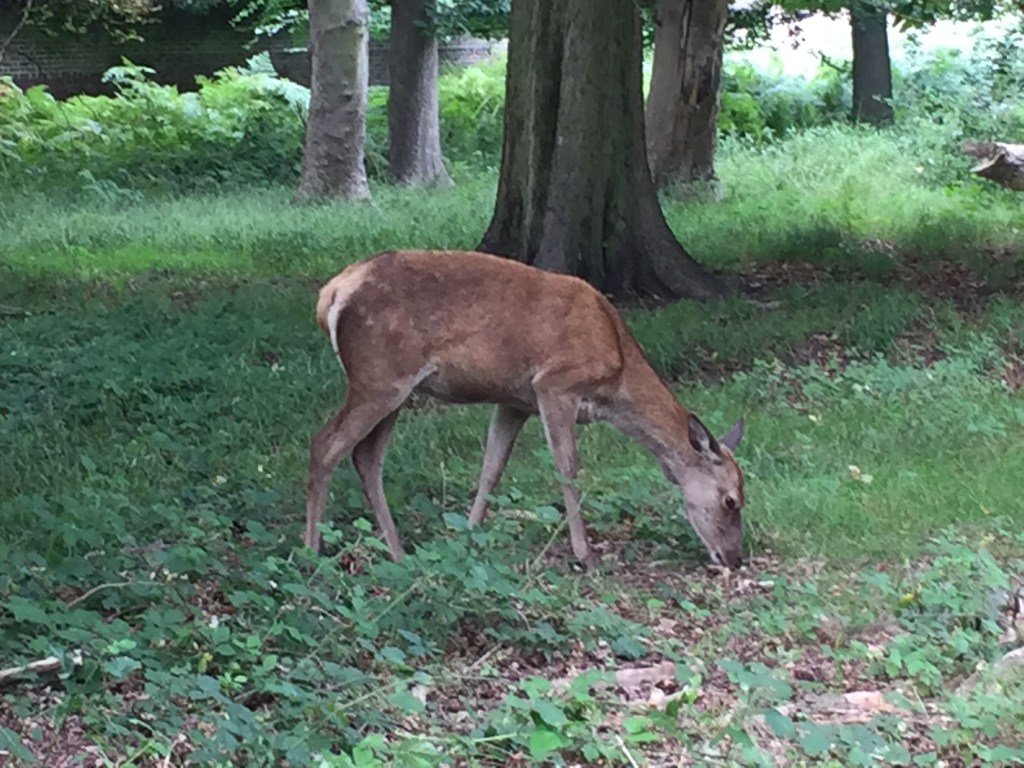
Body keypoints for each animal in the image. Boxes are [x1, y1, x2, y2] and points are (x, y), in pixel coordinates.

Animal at [304, 249, 746, 570]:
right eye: (730, 501)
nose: (735, 559)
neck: (617, 368)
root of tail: (331, 294)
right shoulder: (556, 384)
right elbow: (567, 468)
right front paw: (585, 555)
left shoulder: (514, 401)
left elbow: (492, 467)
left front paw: (469, 536)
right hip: (378, 377)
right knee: (324, 444)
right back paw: (311, 554)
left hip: (396, 388)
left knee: (366, 455)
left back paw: (397, 554)